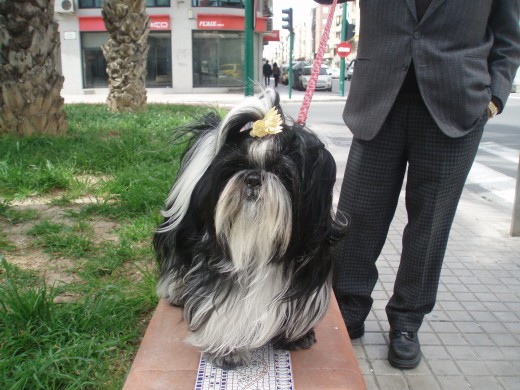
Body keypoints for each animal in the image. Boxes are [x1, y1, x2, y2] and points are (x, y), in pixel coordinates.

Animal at [154, 87, 350, 368]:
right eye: (238, 166)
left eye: (281, 170)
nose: (253, 178)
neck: (261, 243)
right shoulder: (221, 268)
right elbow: (225, 309)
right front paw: (227, 349)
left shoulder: (307, 276)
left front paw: (295, 336)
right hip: (183, 234)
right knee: (177, 260)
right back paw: (176, 291)